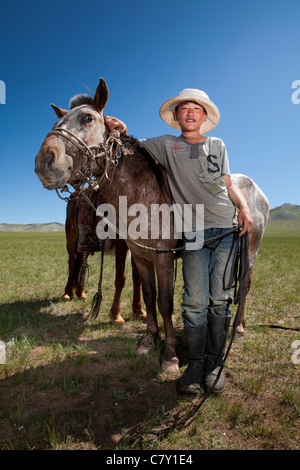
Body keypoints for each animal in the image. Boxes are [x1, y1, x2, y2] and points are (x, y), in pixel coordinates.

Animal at [61, 189, 145, 324]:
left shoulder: (136, 247)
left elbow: (137, 278)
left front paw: (139, 311)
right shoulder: (121, 244)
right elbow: (120, 279)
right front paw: (116, 316)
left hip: (85, 243)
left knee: (81, 263)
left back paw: (80, 293)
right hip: (71, 234)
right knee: (72, 261)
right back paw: (67, 293)